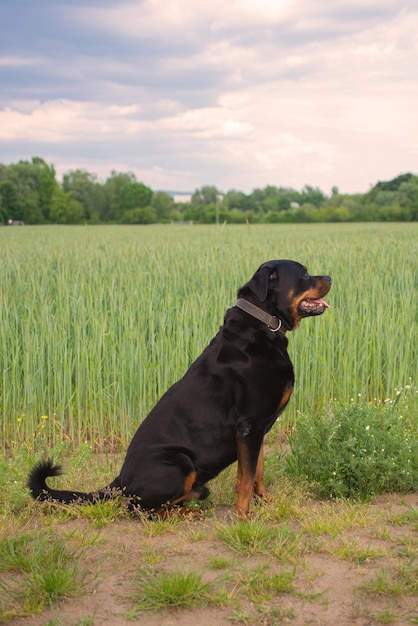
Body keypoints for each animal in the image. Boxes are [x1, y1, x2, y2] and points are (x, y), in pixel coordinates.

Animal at [27, 258, 332, 516]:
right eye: (304, 274)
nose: (330, 276)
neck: (264, 325)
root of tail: (120, 480)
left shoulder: (259, 429)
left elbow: (256, 471)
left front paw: (264, 501)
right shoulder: (249, 426)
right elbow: (246, 477)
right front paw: (244, 515)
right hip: (180, 463)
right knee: (139, 509)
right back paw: (187, 513)